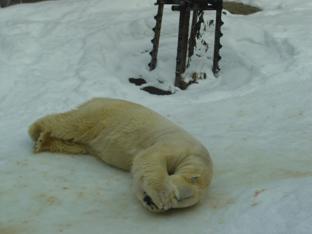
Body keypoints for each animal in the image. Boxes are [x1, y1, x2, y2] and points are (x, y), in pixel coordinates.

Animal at [28, 97, 212, 212]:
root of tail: (97, 99)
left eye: (179, 203)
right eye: (177, 197)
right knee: (71, 123)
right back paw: (37, 132)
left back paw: (49, 142)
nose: (150, 202)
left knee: (76, 141)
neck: (198, 156)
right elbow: (150, 158)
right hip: (102, 115)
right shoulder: (177, 145)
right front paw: (163, 196)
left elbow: (139, 174)